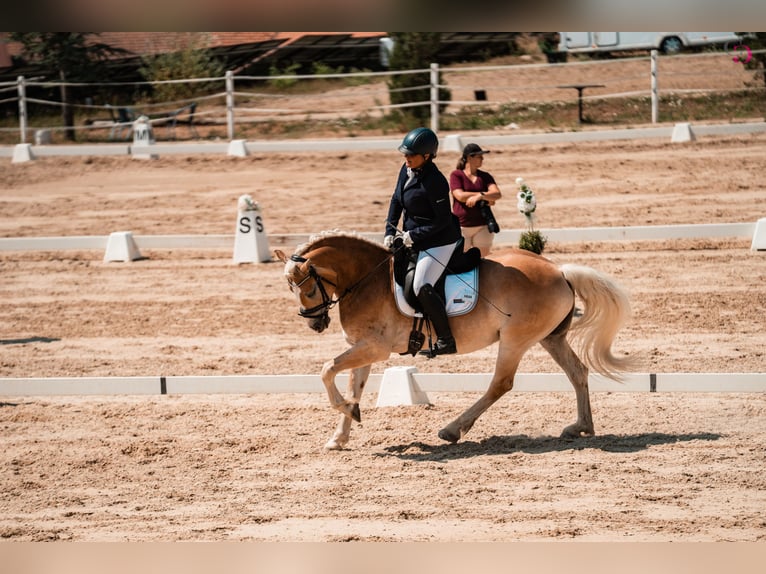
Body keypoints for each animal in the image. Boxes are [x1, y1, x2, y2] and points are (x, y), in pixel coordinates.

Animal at [275, 231, 634, 450]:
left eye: (308, 288)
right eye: (291, 289)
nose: (315, 324)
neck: (367, 279)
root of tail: (559, 271)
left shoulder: (374, 347)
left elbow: (326, 369)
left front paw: (347, 416)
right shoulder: (365, 348)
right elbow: (352, 386)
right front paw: (341, 433)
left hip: (515, 340)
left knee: (501, 383)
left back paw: (452, 430)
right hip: (549, 338)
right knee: (577, 372)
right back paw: (581, 427)